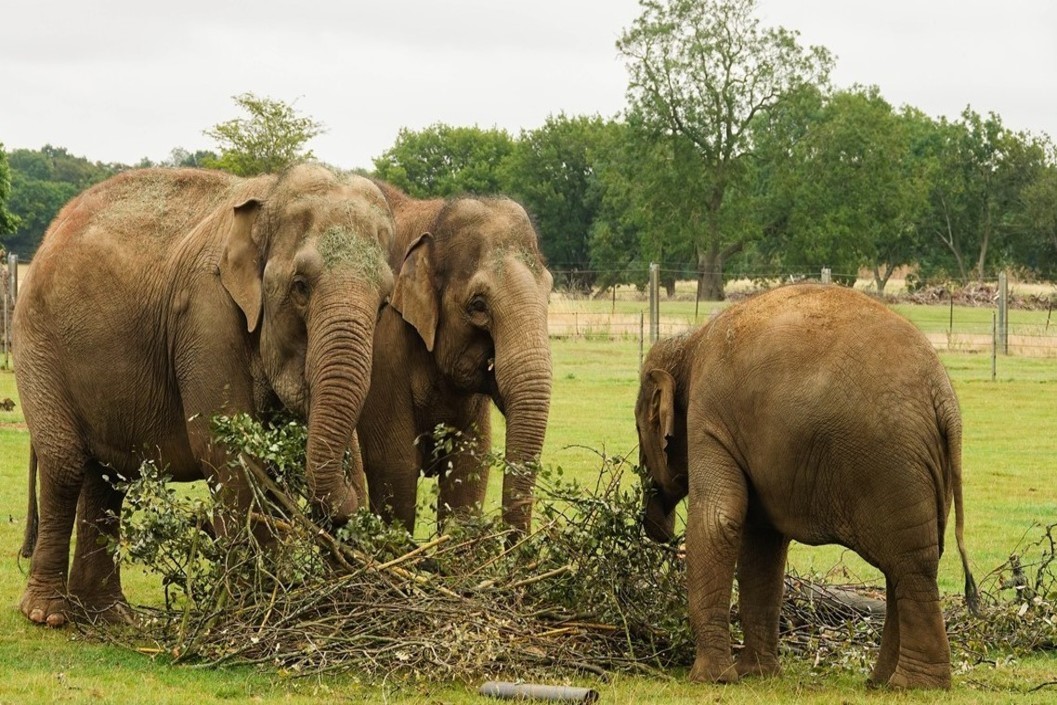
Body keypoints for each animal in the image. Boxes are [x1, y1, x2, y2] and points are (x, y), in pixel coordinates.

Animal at [15, 165, 397, 629]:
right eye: (300, 287)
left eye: (384, 304)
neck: (269, 195)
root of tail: (51, 232)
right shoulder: (205, 314)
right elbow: (226, 453)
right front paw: (253, 611)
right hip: (36, 344)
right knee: (66, 465)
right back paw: (47, 615)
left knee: (107, 479)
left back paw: (110, 617)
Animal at [355, 181, 553, 534]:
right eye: (478, 305)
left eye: (549, 295)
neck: (432, 217)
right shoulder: (382, 347)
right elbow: (394, 467)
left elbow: (469, 468)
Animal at [629, 283, 976, 689]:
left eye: (639, 427)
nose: (659, 530)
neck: (690, 343)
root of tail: (943, 397)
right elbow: (761, 542)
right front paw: (756, 674)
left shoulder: (708, 417)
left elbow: (719, 522)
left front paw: (712, 679)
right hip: (925, 469)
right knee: (910, 563)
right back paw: (882, 682)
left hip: (892, 463)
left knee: (910, 565)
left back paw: (913, 685)